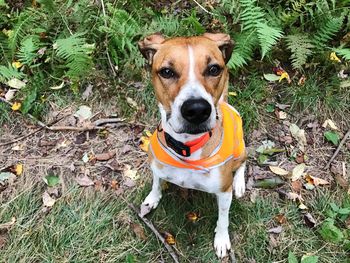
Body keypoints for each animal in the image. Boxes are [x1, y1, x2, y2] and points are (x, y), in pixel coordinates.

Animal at [138, 33, 247, 260]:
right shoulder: (156, 165)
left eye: (213, 69)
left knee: (244, 162)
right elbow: (156, 182)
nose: (197, 110)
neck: (187, 148)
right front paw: (153, 198)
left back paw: (240, 183)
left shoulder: (224, 192)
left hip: (241, 148)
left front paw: (221, 239)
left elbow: (223, 218)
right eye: (167, 72)